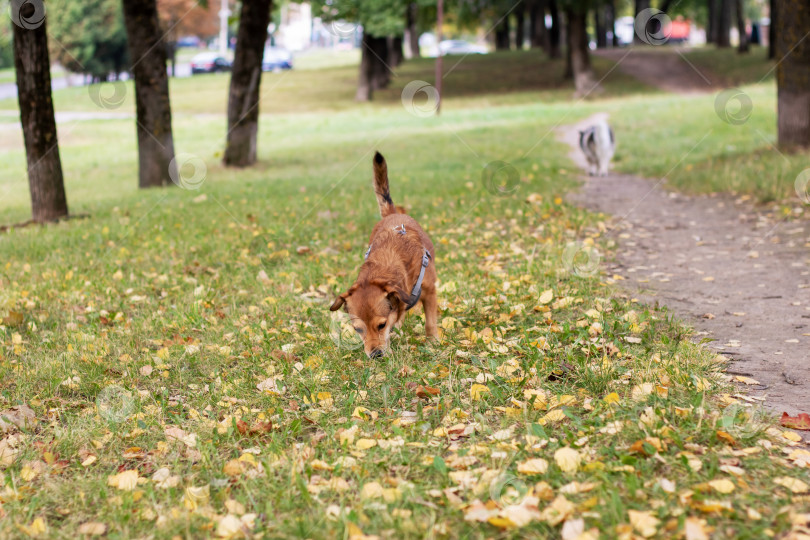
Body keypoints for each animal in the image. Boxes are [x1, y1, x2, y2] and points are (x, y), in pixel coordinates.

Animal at [330, 151, 436, 358]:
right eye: (358, 329)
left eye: (381, 325)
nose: (375, 355)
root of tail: (392, 214)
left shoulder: (430, 291)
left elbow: (430, 322)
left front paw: (433, 343)